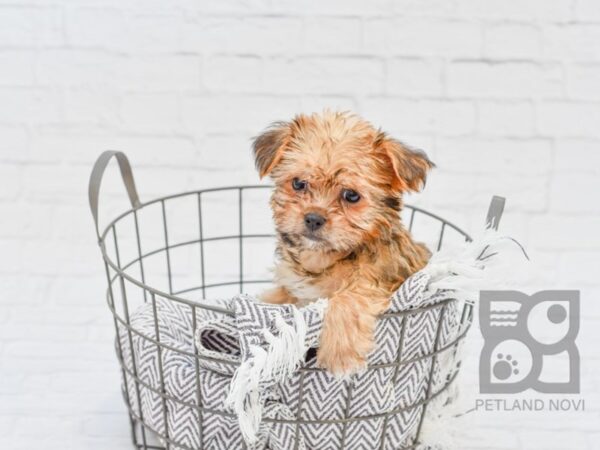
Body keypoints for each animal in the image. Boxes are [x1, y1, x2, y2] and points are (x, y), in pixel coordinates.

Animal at [252, 110, 432, 374]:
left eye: (351, 196)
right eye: (298, 183)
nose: (313, 218)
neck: (326, 259)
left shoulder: (379, 280)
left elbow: (348, 297)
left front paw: (340, 353)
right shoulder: (294, 291)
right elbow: (277, 298)